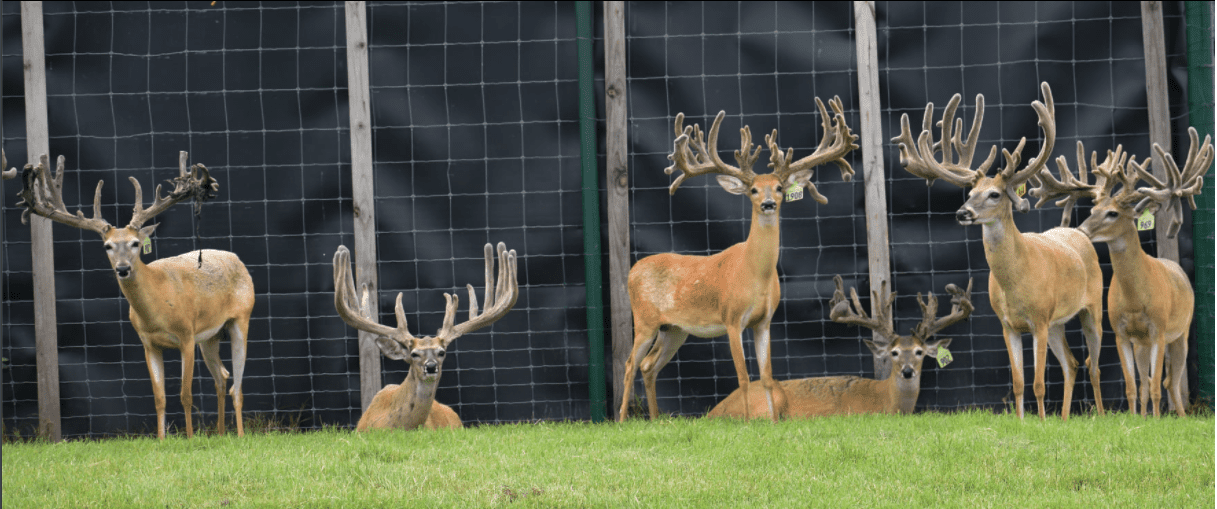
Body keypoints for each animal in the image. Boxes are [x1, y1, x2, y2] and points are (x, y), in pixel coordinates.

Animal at [16, 151, 253, 439]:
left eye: (136, 243)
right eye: (107, 246)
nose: (122, 269)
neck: (159, 305)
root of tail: (237, 259)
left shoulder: (186, 335)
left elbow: (185, 395)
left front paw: (189, 438)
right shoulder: (148, 343)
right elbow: (159, 397)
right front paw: (162, 440)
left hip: (241, 318)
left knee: (237, 386)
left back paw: (239, 435)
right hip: (210, 336)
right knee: (222, 376)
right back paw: (220, 433)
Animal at [619, 96, 858, 422]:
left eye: (779, 188)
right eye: (754, 189)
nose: (768, 203)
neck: (754, 274)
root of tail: (632, 271)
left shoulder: (764, 321)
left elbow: (767, 376)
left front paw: (773, 422)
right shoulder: (732, 318)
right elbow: (744, 377)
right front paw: (746, 421)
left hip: (675, 329)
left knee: (649, 365)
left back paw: (656, 420)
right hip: (644, 320)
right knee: (630, 364)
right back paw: (620, 420)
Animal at [708, 275, 972, 418]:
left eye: (919, 352)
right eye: (894, 353)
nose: (908, 371)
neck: (887, 402)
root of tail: (714, 413)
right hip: (769, 400)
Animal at [891, 82, 1105, 421]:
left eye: (994, 194)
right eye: (970, 192)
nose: (962, 213)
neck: (1017, 279)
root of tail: (1078, 233)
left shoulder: (1039, 320)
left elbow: (1038, 383)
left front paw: (1041, 423)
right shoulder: (1007, 324)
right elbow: (1018, 383)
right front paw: (1022, 422)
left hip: (1092, 307)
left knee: (1093, 366)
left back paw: (1101, 414)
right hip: (1057, 322)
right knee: (1072, 364)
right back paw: (1064, 418)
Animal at [1033, 128, 1212, 417]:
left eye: (1113, 213)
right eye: (1093, 209)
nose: (1081, 230)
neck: (1136, 299)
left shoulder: (1159, 329)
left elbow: (1156, 385)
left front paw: (1157, 420)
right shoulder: (1120, 332)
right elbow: (1132, 386)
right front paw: (1135, 418)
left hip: (1181, 332)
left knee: (1171, 381)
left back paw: (1180, 414)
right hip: (1142, 343)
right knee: (1148, 381)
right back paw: (1147, 414)